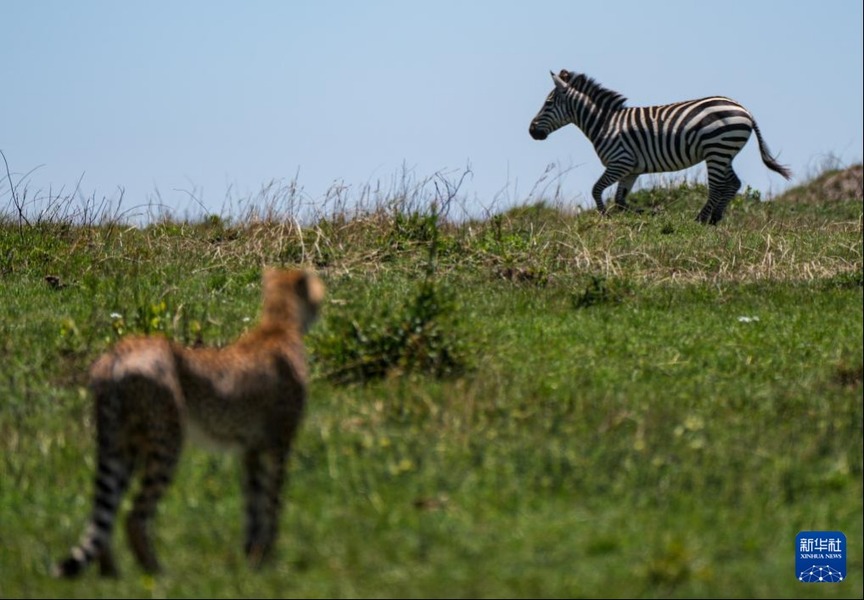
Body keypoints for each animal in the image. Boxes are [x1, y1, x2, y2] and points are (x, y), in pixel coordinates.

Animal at [528, 69, 788, 225]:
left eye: (548, 103)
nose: (531, 131)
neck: (604, 123)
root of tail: (744, 109)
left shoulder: (620, 162)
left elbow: (596, 190)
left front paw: (605, 218)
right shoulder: (631, 170)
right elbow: (620, 200)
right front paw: (646, 214)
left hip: (717, 150)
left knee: (716, 187)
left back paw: (700, 220)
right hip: (725, 153)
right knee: (733, 183)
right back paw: (714, 219)